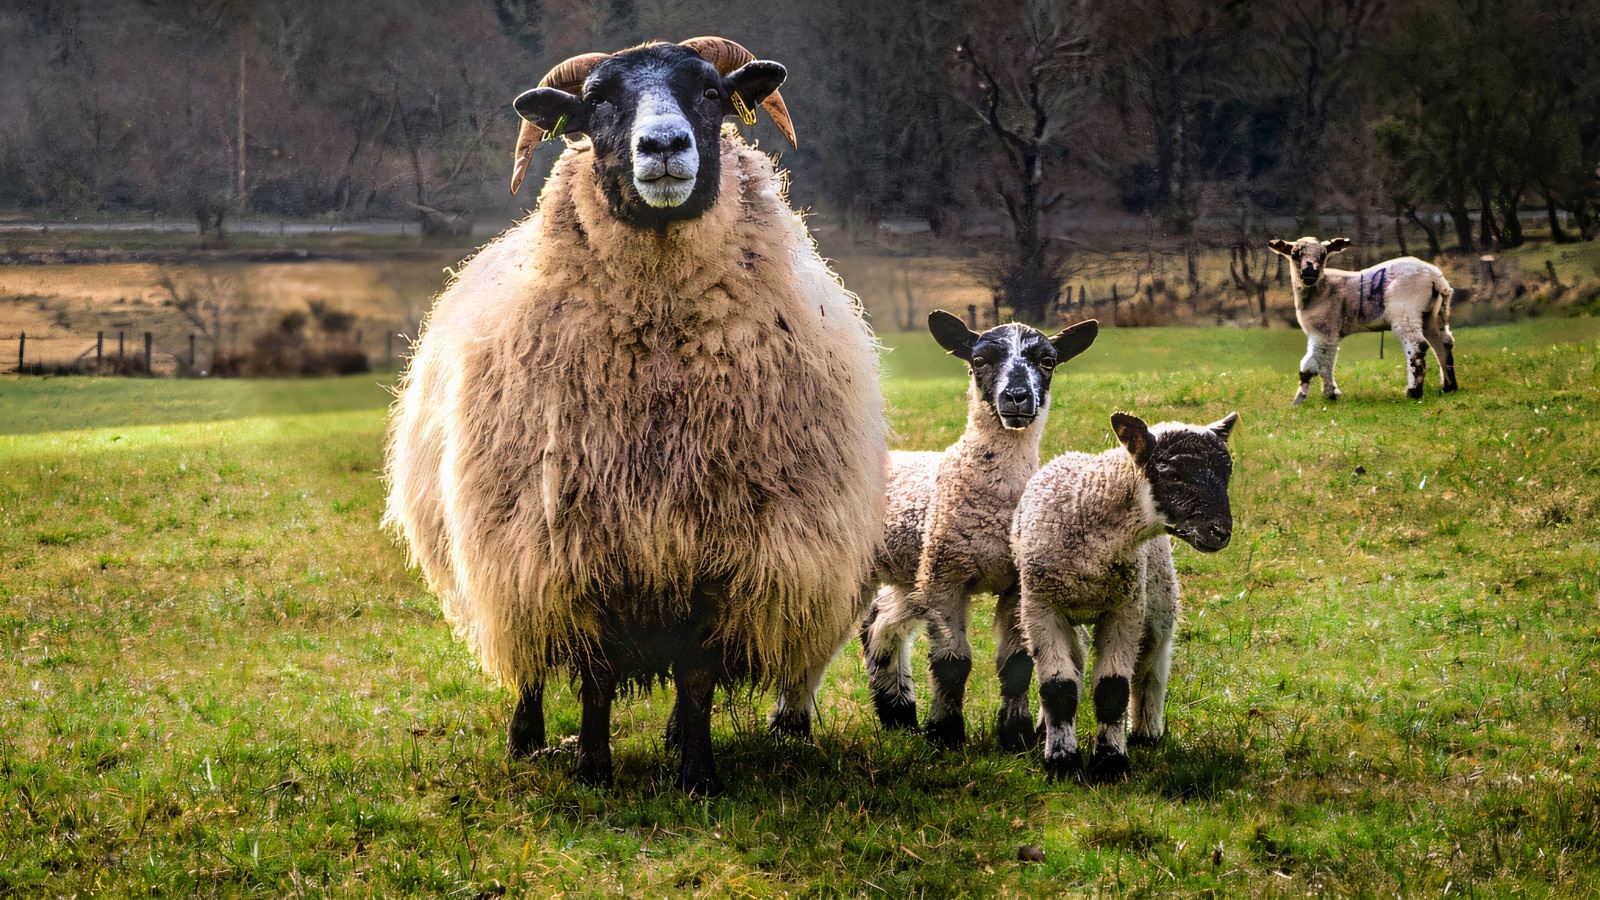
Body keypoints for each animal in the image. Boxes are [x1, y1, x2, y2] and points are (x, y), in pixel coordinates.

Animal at [383, 38, 888, 795]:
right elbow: (593, 677)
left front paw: (698, 772)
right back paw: (525, 737)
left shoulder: (725, 554)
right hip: (510, 555)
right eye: (597, 102)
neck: (659, 347)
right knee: (528, 661)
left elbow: (698, 675)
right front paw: (592, 767)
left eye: (710, 92)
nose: (664, 145)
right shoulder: (576, 555)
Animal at [852, 311, 1099, 751]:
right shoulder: (946, 577)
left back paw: (898, 715)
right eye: (979, 359)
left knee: (880, 625)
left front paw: (1015, 735)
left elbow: (1017, 664)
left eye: (1048, 361)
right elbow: (952, 662)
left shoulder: (1015, 584)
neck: (994, 504)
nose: (1018, 397)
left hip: (912, 572)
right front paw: (945, 734)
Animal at [1012, 411, 1237, 782]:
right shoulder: (1041, 608)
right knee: (1076, 660)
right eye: (1172, 474)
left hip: (1158, 596)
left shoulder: (1125, 608)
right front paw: (1061, 760)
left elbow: (1113, 690)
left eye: (1227, 472)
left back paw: (1146, 731)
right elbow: (1058, 689)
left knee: (1152, 664)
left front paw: (1109, 762)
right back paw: (1047, 727)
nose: (1221, 532)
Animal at [1267, 237, 1457, 405]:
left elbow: (1314, 363)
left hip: (1406, 312)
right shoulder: (1328, 333)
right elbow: (1325, 361)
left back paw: (1414, 392)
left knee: (1417, 346)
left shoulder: (1324, 331)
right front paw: (1331, 394)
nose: (1309, 274)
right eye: (1294, 254)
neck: (1322, 287)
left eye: (1323, 255)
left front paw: (1322, 396)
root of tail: (1435, 277)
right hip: (1434, 313)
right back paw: (1449, 386)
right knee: (1444, 343)